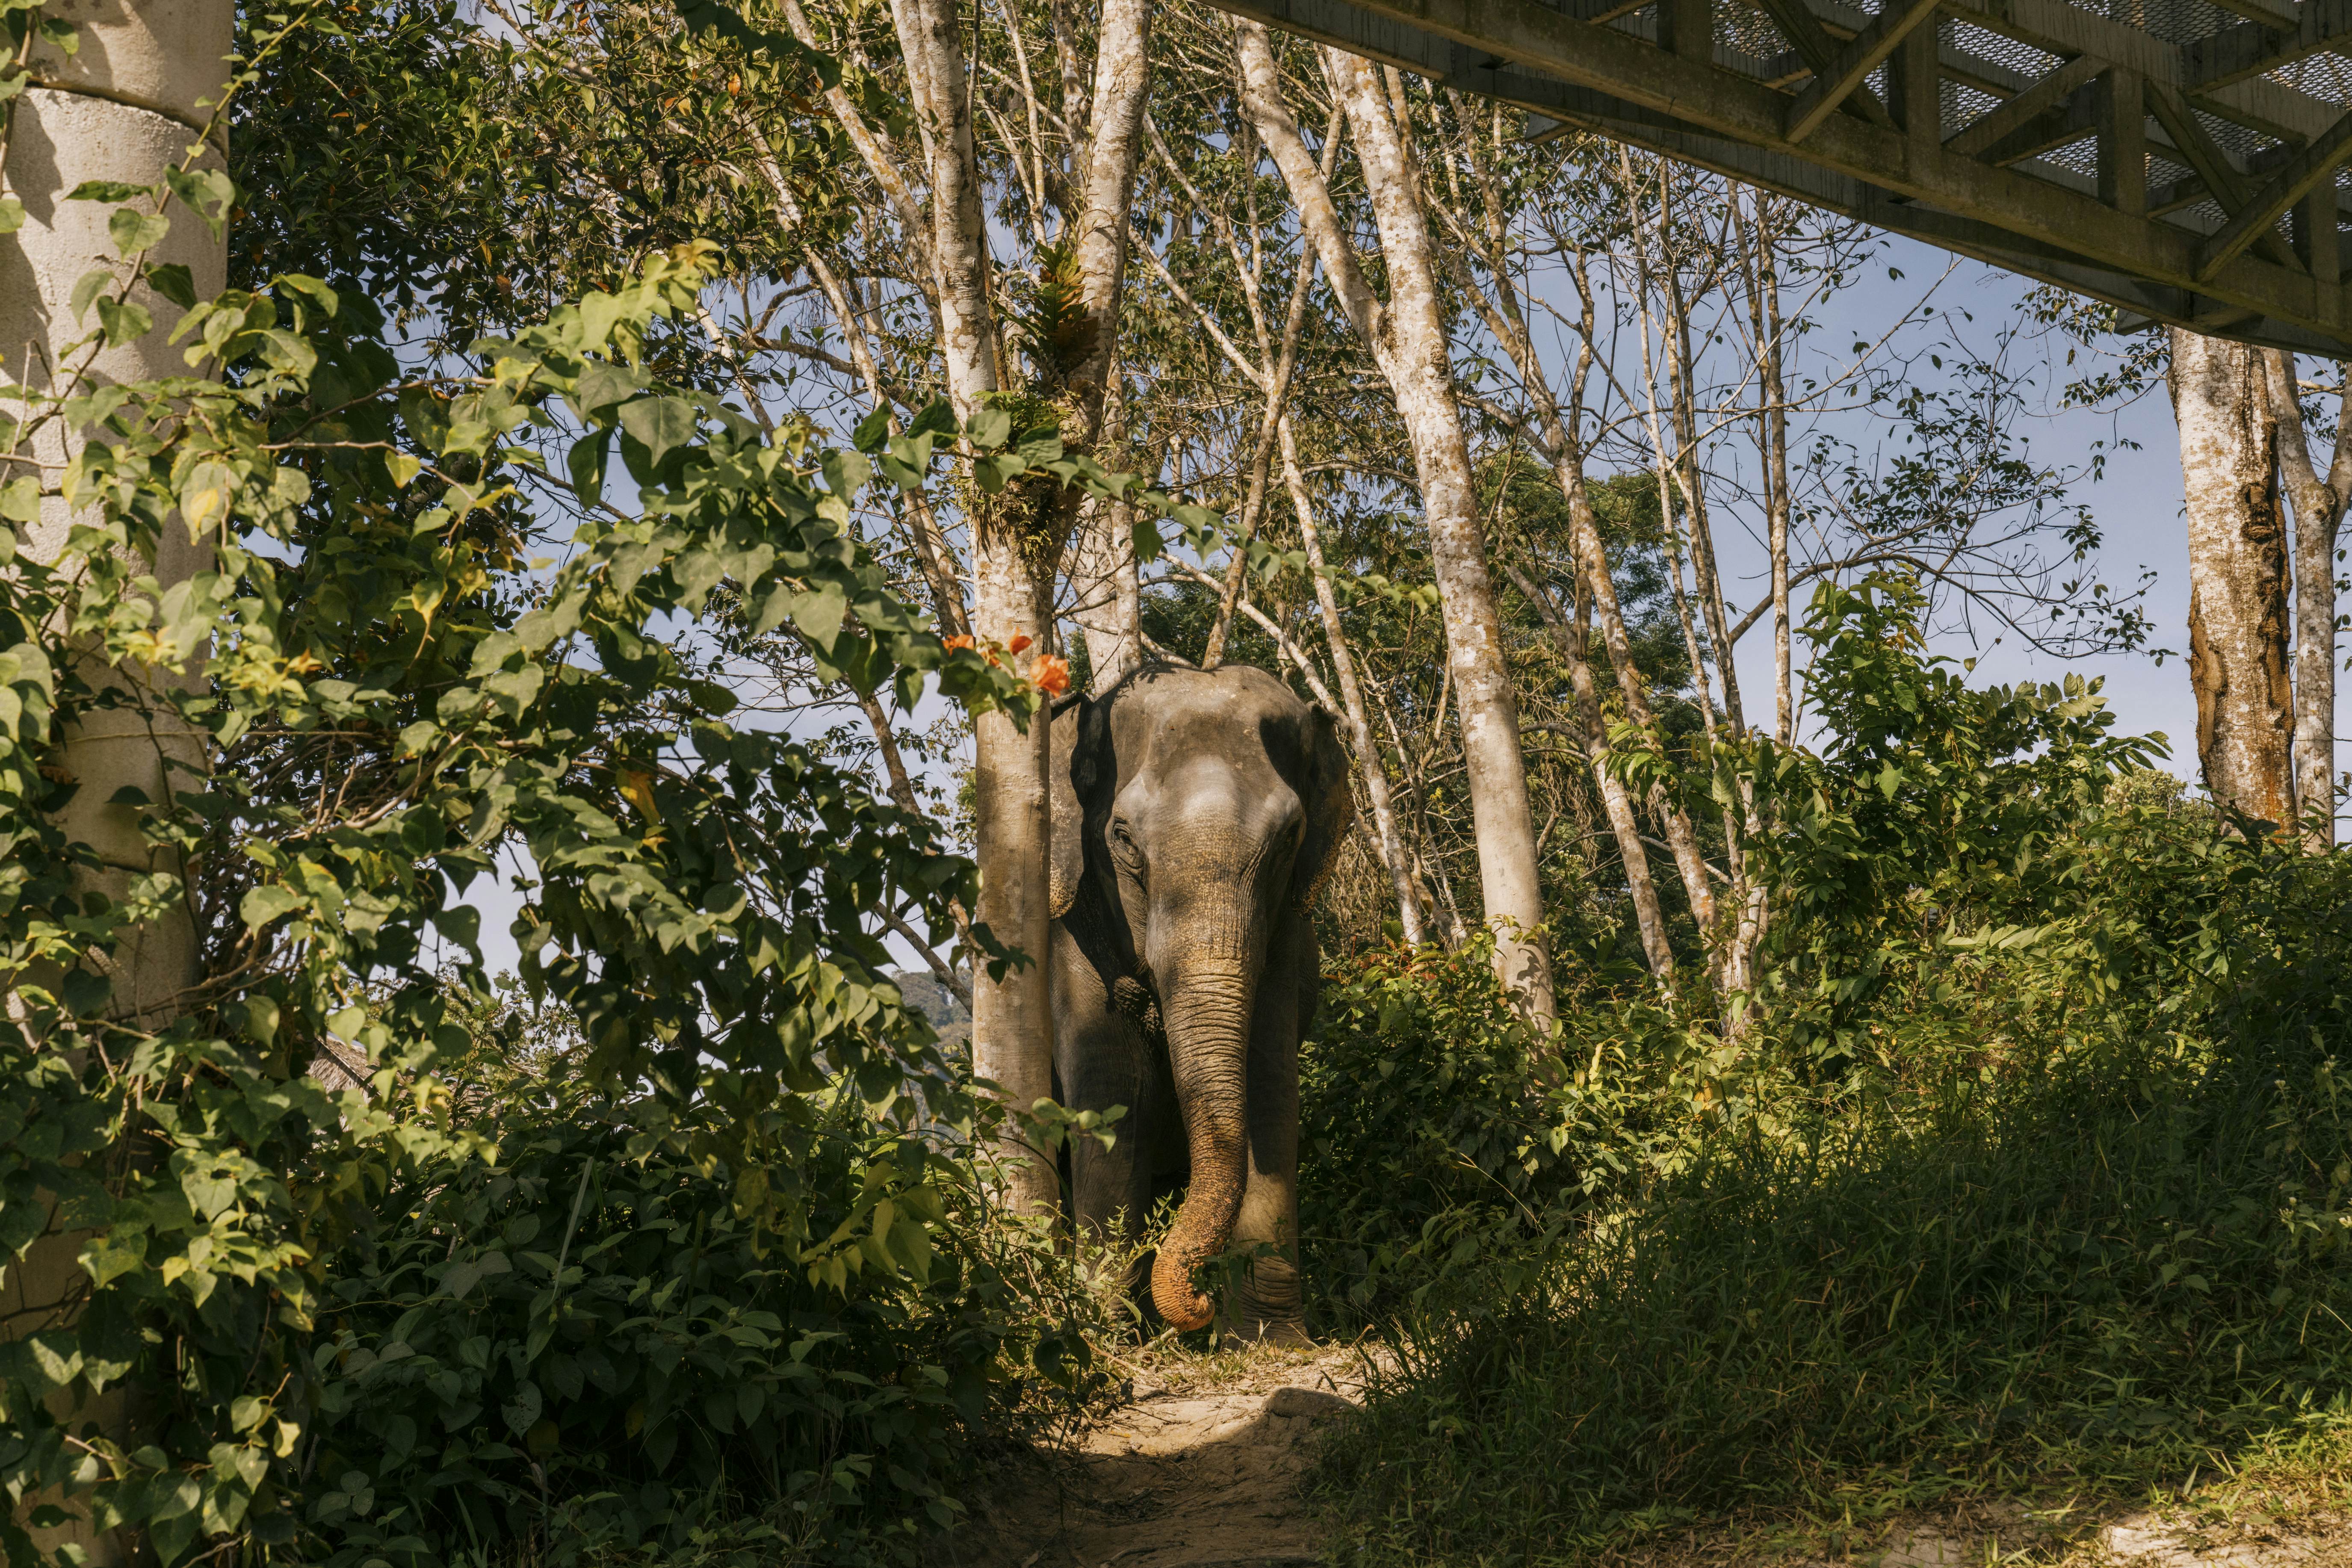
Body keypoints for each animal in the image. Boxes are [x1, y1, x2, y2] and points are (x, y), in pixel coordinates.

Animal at [1046, 661, 1353, 1341]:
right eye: (1123, 837)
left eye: (1290, 836)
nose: (1200, 1302)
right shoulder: (1075, 937)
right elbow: (1111, 1091)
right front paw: (1108, 1335)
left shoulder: (1284, 940)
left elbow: (1268, 1085)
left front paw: (1270, 1339)